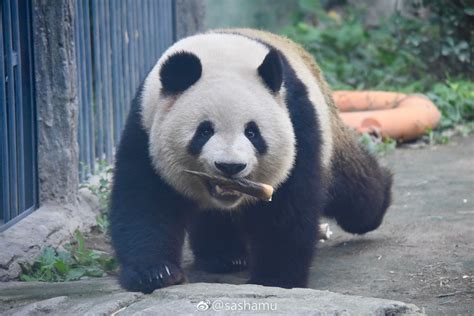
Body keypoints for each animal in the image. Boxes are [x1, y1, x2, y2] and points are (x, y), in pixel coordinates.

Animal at [110, 28, 392, 292]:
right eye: (204, 131)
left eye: (252, 132)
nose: (230, 167)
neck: (220, 52)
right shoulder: (145, 125)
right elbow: (144, 198)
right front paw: (155, 272)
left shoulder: (297, 120)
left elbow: (288, 205)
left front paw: (275, 278)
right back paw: (225, 257)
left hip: (329, 132)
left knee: (353, 189)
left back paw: (380, 196)